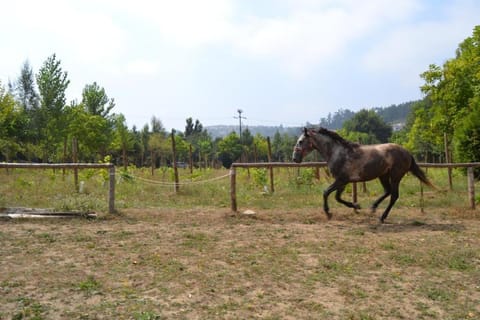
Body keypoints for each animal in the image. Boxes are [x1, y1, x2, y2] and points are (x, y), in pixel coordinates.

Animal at [292, 127, 436, 222]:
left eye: (300, 141)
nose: (294, 158)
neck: (337, 153)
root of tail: (407, 152)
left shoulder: (342, 180)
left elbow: (326, 192)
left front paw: (328, 213)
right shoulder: (343, 181)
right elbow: (337, 197)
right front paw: (356, 206)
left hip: (395, 176)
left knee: (394, 195)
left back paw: (382, 217)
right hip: (383, 175)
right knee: (388, 191)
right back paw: (373, 207)